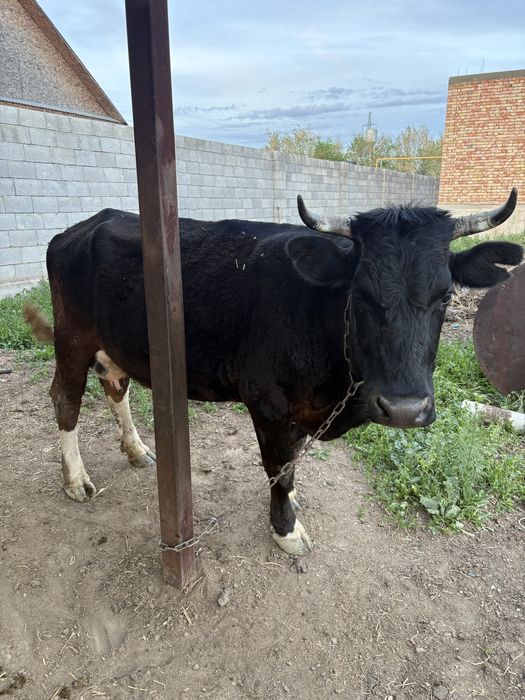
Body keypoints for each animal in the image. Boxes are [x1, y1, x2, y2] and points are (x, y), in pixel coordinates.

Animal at [25, 189, 522, 556]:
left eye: (445, 295)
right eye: (360, 292)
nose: (404, 409)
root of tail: (87, 223)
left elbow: (293, 462)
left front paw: (294, 503)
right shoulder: (268, 401)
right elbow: (279, 467)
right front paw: (286, 529)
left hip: (114, 344)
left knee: (116, 385)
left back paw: (136, 450)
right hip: (73, 337)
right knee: (66, 399)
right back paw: (75, 480)